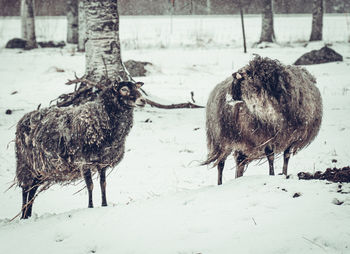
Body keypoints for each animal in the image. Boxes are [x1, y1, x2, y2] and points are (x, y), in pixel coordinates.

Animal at [15, 80, 145, 218]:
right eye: (124, 89)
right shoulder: (84, 161)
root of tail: (23, 118)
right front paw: (90, 207)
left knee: (32, 188)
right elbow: (90, 185)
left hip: (39, 169)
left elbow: (103, 184)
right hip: (26, 163)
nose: (143, 100)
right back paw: (23, 216)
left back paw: (28, 214)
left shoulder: (102, 162)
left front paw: (104, 204)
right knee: (26, 188)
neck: (102, 117)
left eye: (136, 87)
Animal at [202, 56, 322, 185]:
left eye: (237, 84)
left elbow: (286, 156)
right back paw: (220, 184)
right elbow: (270, 156)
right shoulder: (265, 136)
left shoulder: (291, 136)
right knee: (221, 163)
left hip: (241, 140)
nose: (228, 100)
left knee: (239, 161)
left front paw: (284, 173)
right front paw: (272, 174)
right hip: (222, 139)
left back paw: (238, 178)